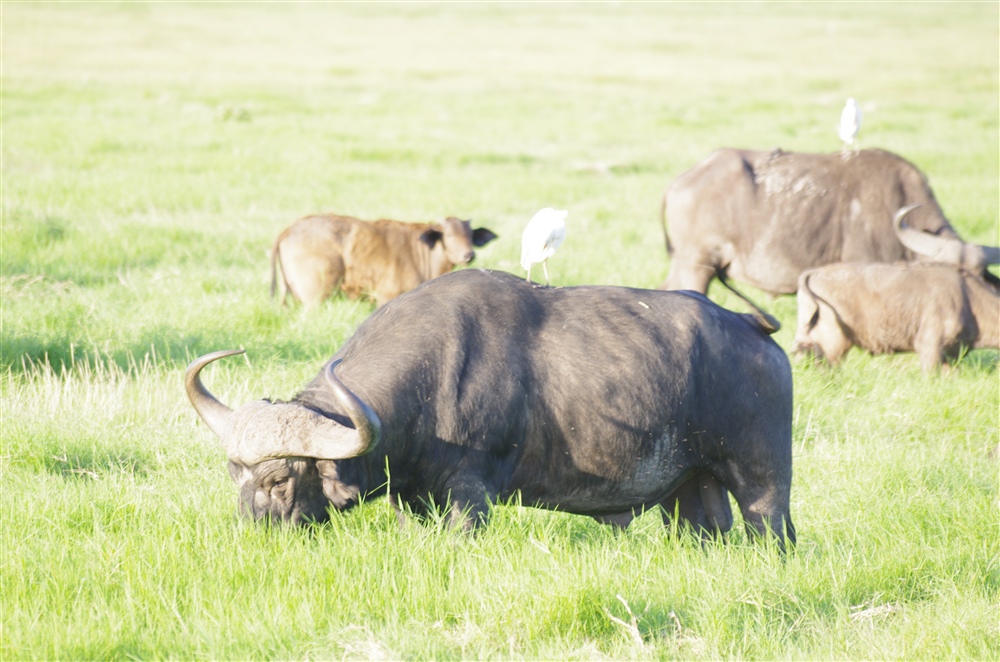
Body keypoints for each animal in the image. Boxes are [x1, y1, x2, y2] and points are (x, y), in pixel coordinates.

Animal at [186, 268, 796, 548]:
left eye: (279, 479)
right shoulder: (412, 498)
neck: (428, 387)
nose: (251, 535)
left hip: (763, 483)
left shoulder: (470, 494)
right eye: (234, 474)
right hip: (690, 487)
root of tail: (753, 329)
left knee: (773, 528)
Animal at [270, 215, 496, 308]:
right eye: (448, 235)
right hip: (315, 298)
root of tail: (290, 229)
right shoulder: (386, 296)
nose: (469, 255)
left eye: (469, 235)